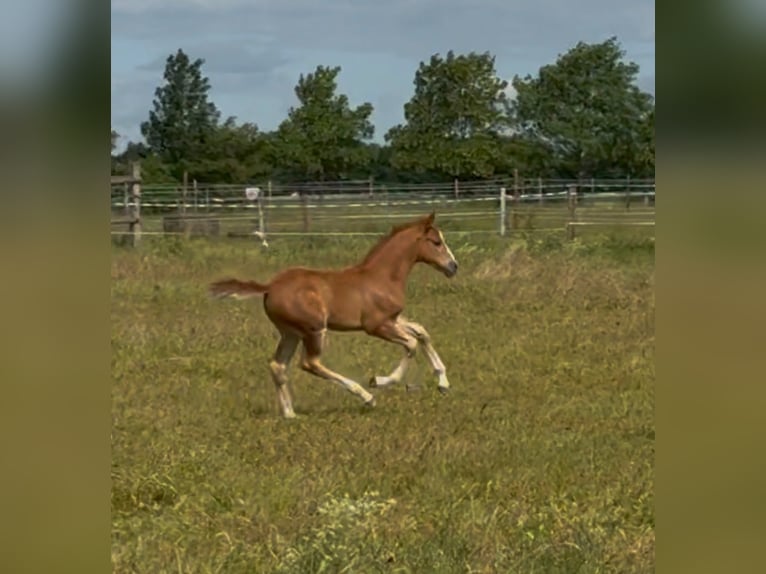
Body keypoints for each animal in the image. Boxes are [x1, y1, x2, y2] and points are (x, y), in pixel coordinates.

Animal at [209, 212, 458, 418]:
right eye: (436, 242)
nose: (453, 266)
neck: (381, 277)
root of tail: (270, 287)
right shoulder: (376, 325)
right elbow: (411, 343)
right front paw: (379, 381)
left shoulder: (393, 319)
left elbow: (421, 332)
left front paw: (443, 383)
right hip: (314, 329)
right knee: (309, 363)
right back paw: (366, 396)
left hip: (290, 333)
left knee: (278, 366)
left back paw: (290, 414)